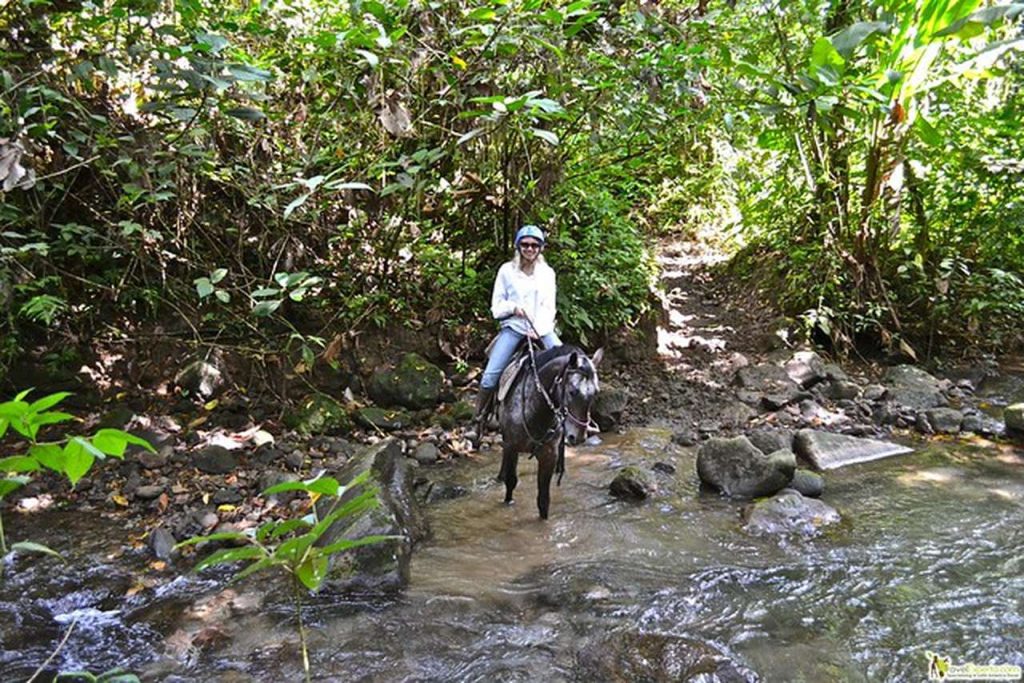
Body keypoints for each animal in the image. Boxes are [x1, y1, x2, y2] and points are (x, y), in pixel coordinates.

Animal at [493, 344, 598, 520]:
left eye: (596, 393)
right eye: (572, 391)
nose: (578, 437)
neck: (534, 410)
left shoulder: (549, 455)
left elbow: (543, 500)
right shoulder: (511, 447)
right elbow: (511, 482)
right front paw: (508, 502)